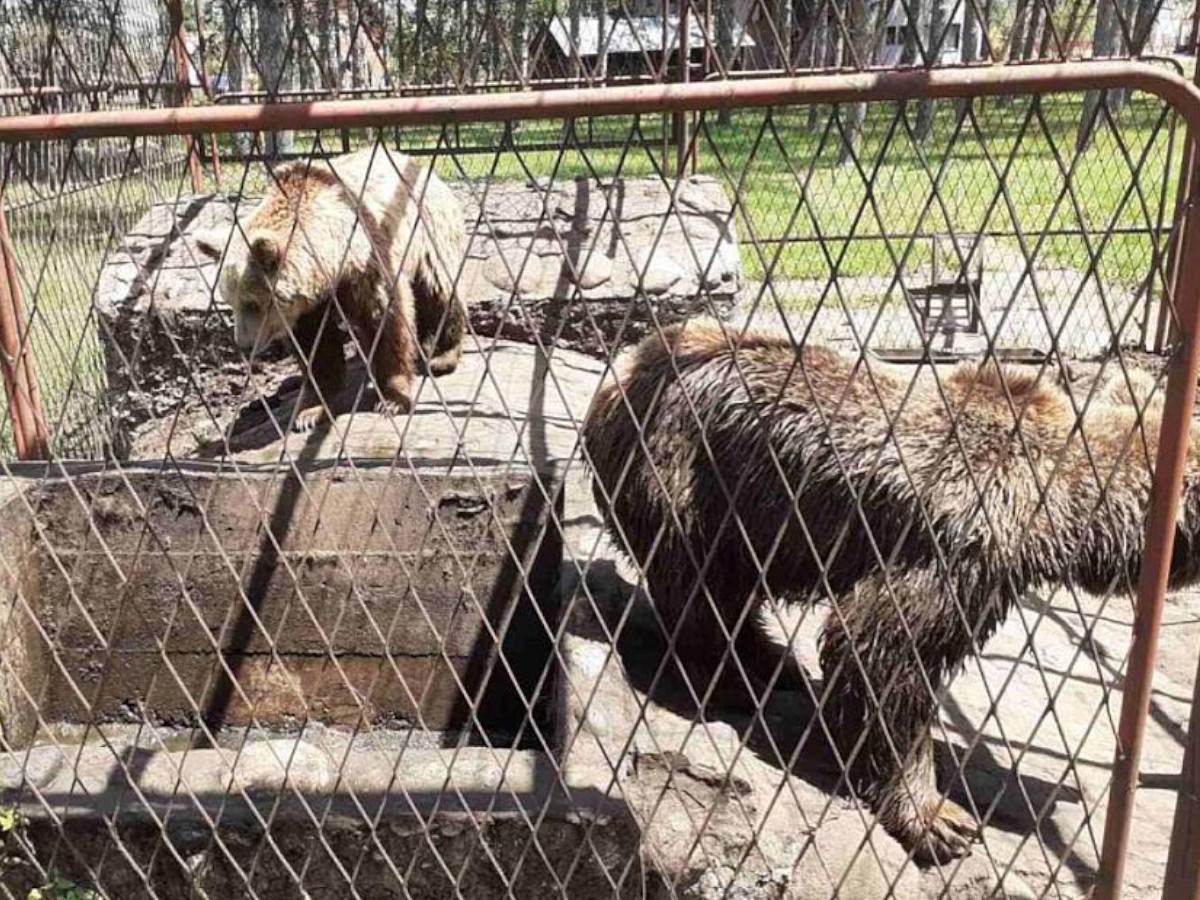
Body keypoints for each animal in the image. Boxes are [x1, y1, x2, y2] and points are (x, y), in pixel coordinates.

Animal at [194, 147, 465, 429]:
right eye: (230, 302)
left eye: (252, 303)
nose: (244, 345)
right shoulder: (306, 305)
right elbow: (316, 347)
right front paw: (310, 410)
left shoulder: (366, 260)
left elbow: (387, 320)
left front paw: (391, 399)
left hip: (428, 230)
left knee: (438, 290)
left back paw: (441, 355)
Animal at [583, 316, 1200, 868]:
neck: (1056, 499)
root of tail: (624, 367)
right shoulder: (957, 544)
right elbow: (882, 652)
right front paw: (937, 819)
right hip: (687, 476)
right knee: (703, 590)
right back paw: (736, 678)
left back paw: (773, 660)